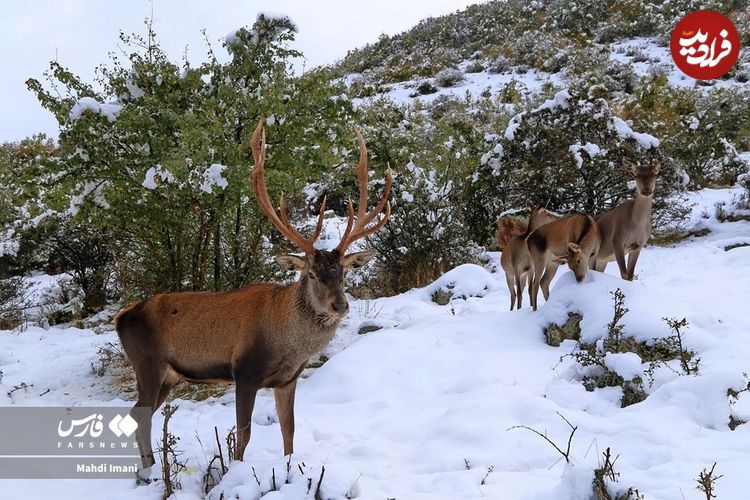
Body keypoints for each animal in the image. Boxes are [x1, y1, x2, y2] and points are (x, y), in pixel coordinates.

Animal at [116, 120, 394, 472]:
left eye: (343, 273)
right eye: (311, 275)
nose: (340, 305)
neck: (285, 343)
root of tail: (121, 317)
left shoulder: (288, 379)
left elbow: (289, 429)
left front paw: (290, 468)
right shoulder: (244, 372)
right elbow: (243, 435)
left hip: (168, 375)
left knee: (138, 414)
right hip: (147, 363)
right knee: (141, 415)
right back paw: (149, 472)